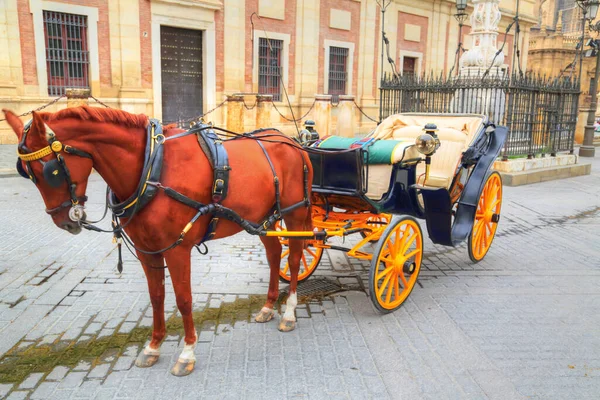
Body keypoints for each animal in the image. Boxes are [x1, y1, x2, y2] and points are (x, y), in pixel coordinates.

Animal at [3, 105, 314, 376]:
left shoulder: (177, 249)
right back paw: (268, 306)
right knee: (274, 254)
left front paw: (187, 353)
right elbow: (156, 297)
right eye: (27, 173)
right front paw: (153, 347)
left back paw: (288, 312)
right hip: (264, 218)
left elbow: (184, 299)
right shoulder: (147, 250)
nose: (65, 221)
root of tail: (293, 143)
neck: (153, 167)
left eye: (51, 171)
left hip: (295, 213)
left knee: (294, 257)